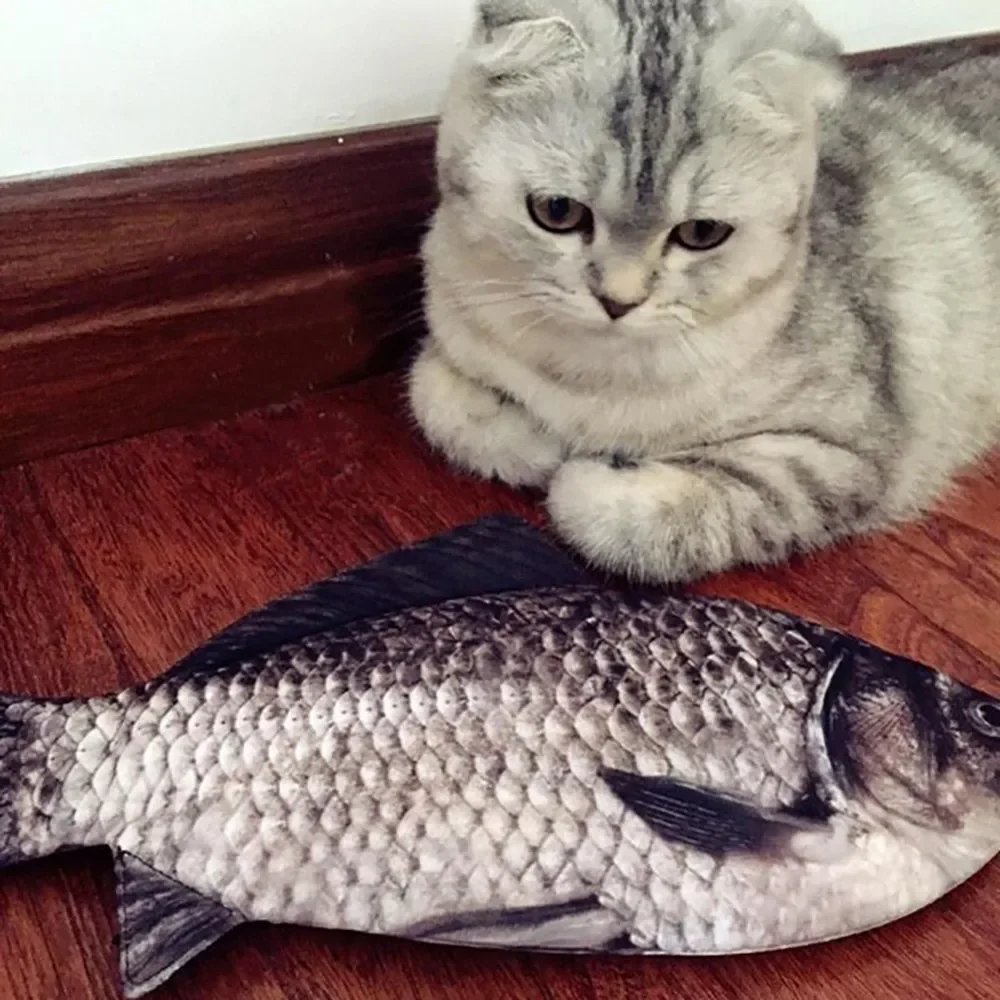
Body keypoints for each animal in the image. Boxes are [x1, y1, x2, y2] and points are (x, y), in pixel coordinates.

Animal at [408, 0, 1000, 584]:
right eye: (557, 211)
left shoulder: (844, 455)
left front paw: (586, 475)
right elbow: (433, 395)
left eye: (701, 233)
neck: (590, 376)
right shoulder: (450, 323)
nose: (619, 301)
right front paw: (535, 440)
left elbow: (669, 514)